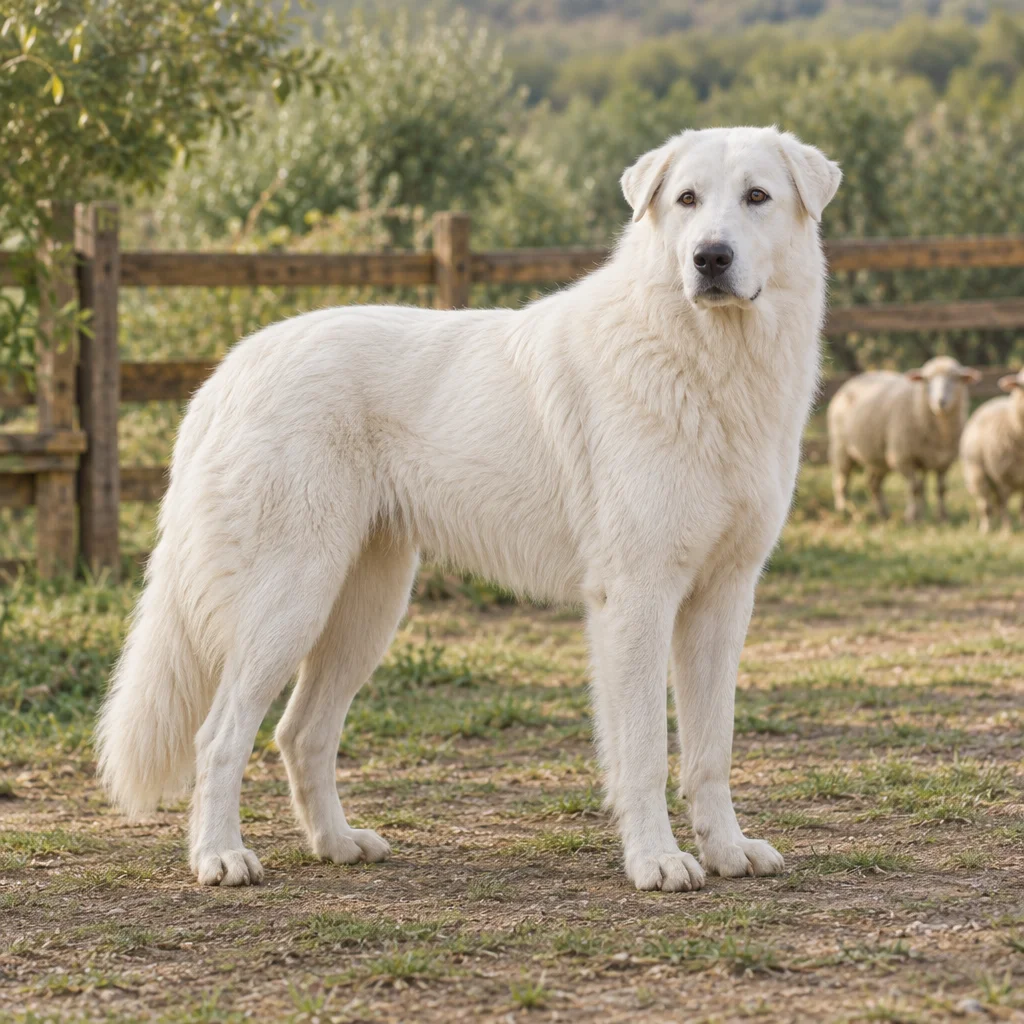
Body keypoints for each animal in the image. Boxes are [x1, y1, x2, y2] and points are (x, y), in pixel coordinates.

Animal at [827, 356, 980, 522]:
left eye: (955, 378)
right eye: (927, 380)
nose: (940, 401)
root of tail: (854, 379)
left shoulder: (943, 461)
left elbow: (941, 489)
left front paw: (942, 516)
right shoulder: (903, 458)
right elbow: (915, 488)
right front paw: (912, 516)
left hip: (878, 458)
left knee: (873, 483)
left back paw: (883, 513)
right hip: (841, 449)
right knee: (841, 482)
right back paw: (844, 510)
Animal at [959, 368, 1024, 533]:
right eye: (1021, 385)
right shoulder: (1002, 475)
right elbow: (1004, 504)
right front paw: (1007, 530)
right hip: (979, 474)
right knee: (987, 506)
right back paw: (987, 528)